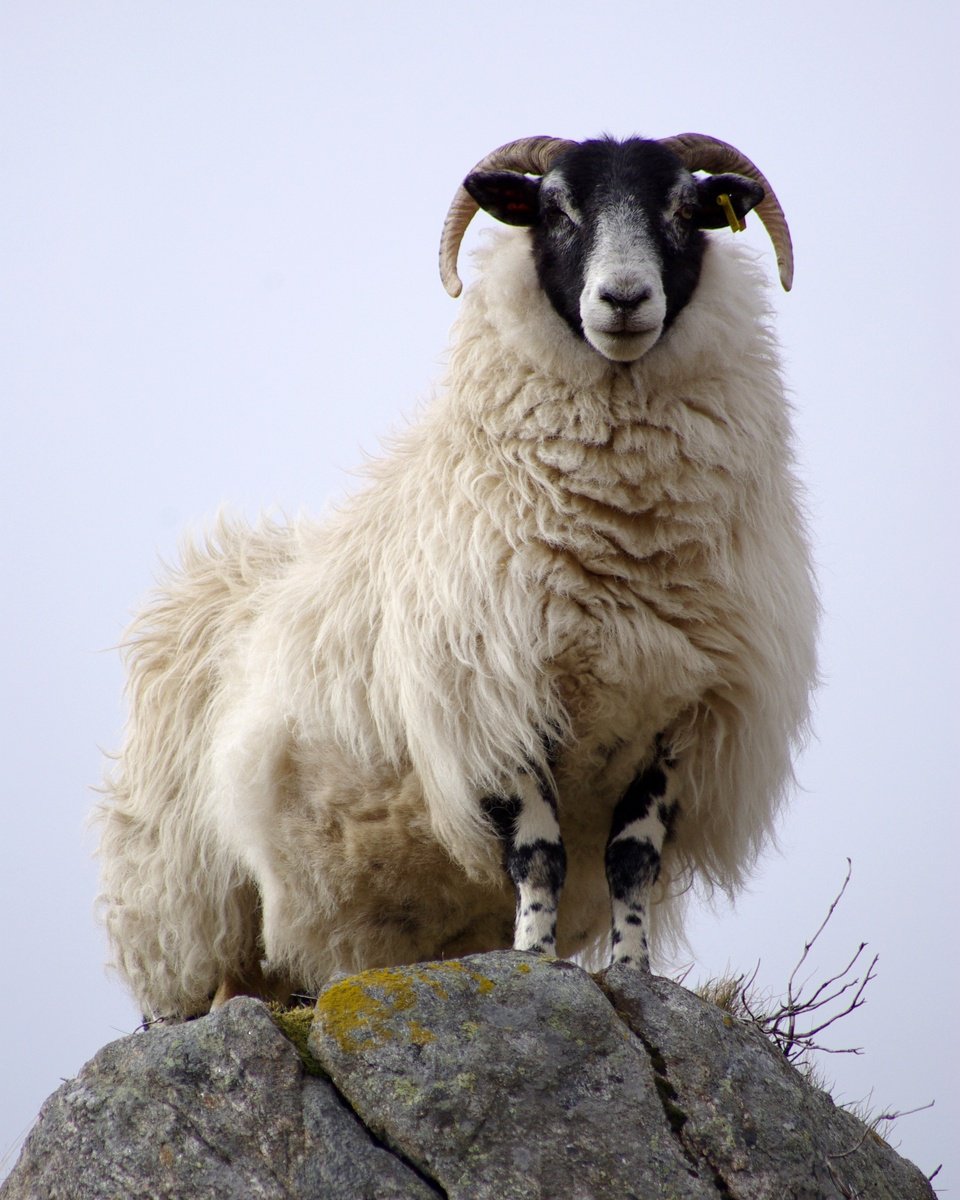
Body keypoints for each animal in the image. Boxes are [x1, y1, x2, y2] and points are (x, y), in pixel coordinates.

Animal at [97, 131, 816, 1017]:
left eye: (685, 209)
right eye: (554, 210)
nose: (622, 299)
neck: (629, 551)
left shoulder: (678, 720)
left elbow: (630, 861)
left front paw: (634, 972)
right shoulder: (491, 704)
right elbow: (540, 855)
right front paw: (534, 961)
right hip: (186, 909)